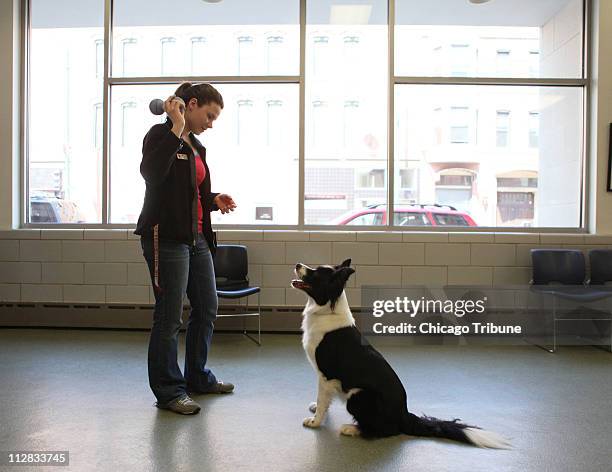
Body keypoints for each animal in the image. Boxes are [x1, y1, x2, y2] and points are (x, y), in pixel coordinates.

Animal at [292, 260, 512, 448]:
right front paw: (317, 410)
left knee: (385, 430)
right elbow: (324, 400)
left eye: (315, 273)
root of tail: (404, 415)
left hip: (358, 395)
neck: (327, 310)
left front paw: (315, 422)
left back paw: (352, 429)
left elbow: (323, 400)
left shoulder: (326, 375)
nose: (297, 264)